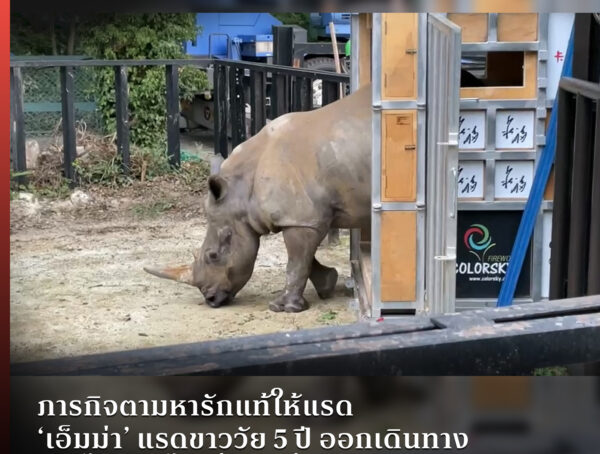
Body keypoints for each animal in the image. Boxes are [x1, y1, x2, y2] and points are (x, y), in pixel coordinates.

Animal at [145, 84, 372, 312]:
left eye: (213, 255)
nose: (211, 299)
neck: (241, 192)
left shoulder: (301, 218)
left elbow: (296, 262)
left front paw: (283, 307)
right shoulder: (304, 218)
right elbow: (304, 259)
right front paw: (327, 285)